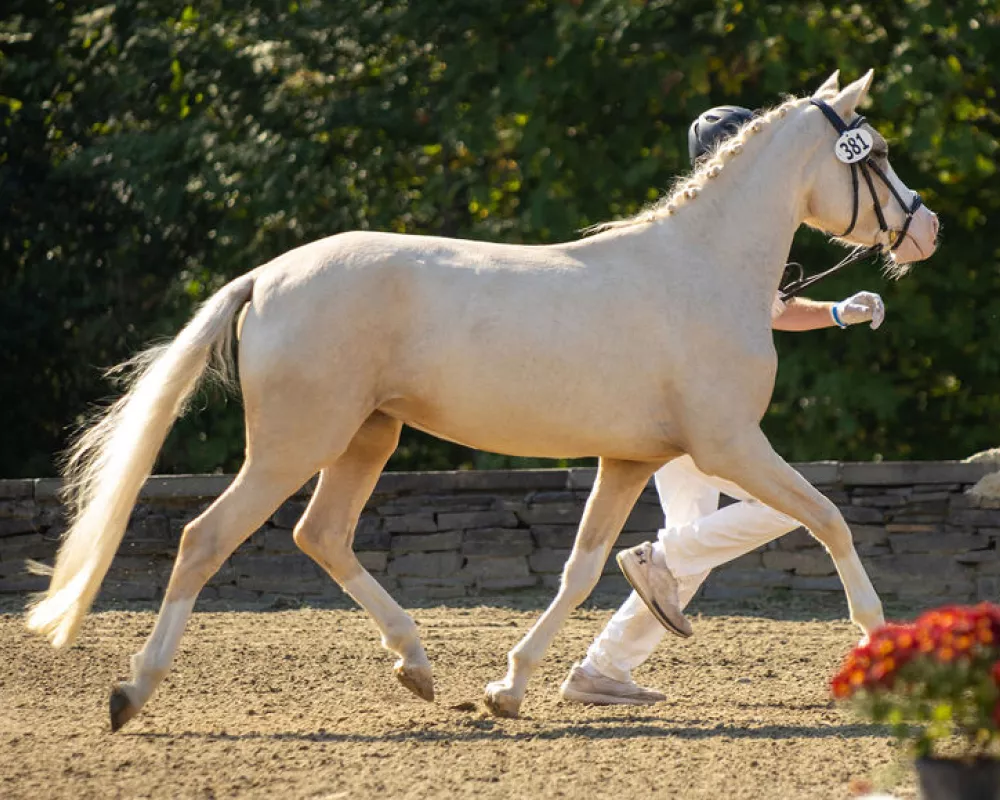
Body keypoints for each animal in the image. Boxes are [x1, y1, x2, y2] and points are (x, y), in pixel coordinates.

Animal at [29, 72, 936, 728]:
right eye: (876, 153)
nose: (925, 230)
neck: (700, 270)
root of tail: (267, 276)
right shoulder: (731, 445)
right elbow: (829, 518)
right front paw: (876, 644)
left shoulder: (627, 458)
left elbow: (580, 570)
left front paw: (509, 688)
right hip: (294, 445)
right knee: (203, 540)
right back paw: (131, 693)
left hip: (368, 437)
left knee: (321, 535)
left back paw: (418, 667)